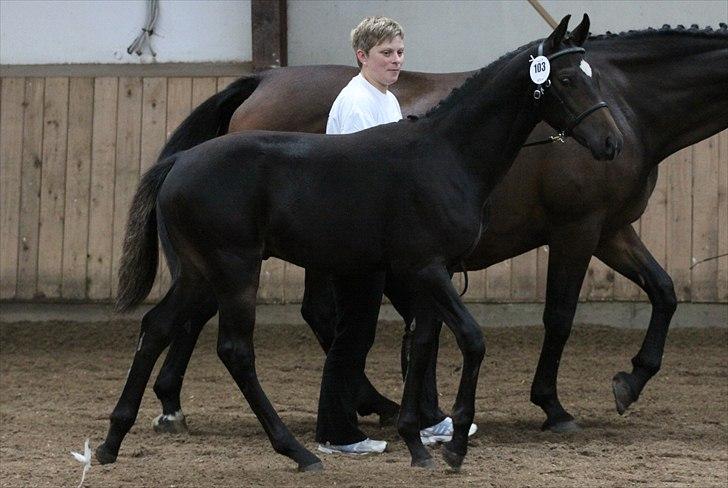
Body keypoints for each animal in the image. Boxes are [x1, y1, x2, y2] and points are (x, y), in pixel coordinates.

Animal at [95, 16, 620, 472]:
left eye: (594, 76)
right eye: (567, 79)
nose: (611, 143)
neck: (446, 155)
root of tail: (179, 163)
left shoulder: (431, 272)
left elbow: (423, 341)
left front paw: (418, 443)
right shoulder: (427, 267)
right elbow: (471, 339)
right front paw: (453, 448)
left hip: (198, 272)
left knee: (157, 327)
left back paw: (111, 441)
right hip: (235, 270)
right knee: (234, 350)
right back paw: (298, 451)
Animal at [149, 22, 728, 434]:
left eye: (593, 79)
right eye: (566, 79)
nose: (609, 144)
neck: (630, 105)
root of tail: (263, 79)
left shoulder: (613, 231)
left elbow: (665, 291)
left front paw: (631, 380)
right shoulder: (577, 230)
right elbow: (560, 317)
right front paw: (553, 405)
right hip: (255, 251)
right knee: (223, 312)